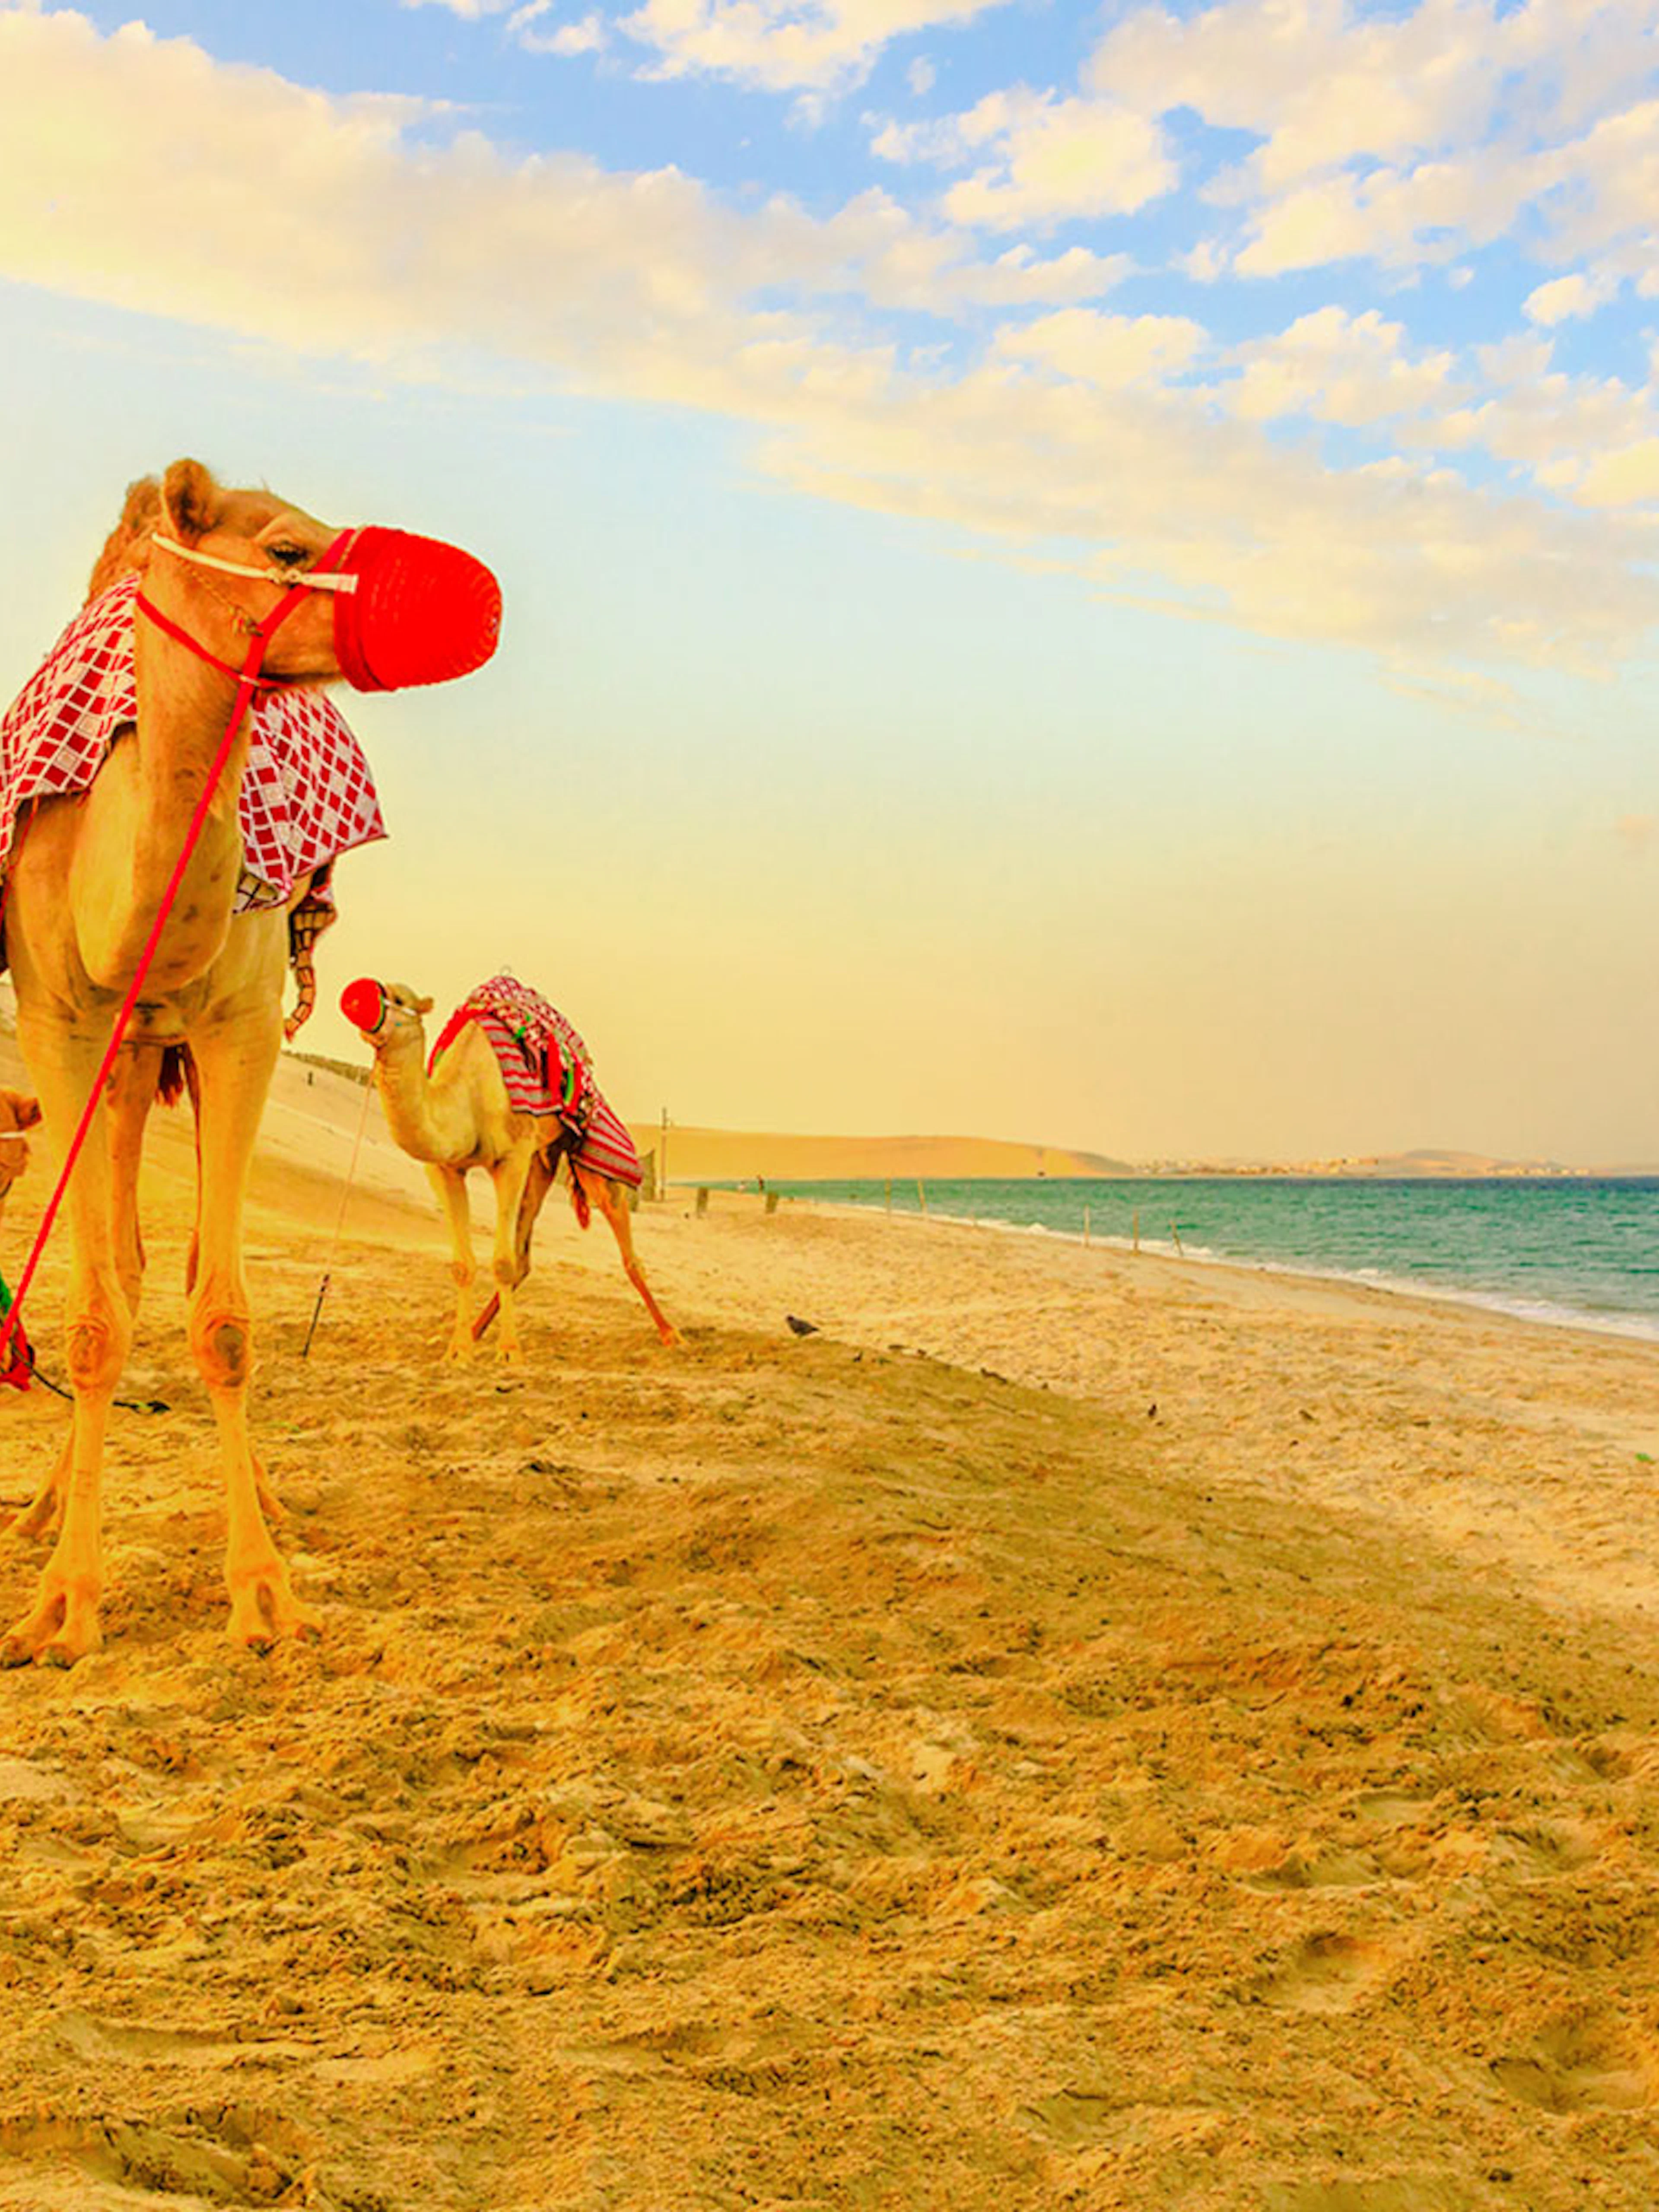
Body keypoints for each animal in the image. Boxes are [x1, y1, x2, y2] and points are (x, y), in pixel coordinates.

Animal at [0, 461, 497, 1665]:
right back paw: (43, 1508)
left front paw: (264, 1590)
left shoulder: (241, 1023)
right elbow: (93, 1314)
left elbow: (222, 1320)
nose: (475, 600)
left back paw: (260, 1499)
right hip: (130, 1059)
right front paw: (62, 1606)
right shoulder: (60, 1020)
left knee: (176, 1272)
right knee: (126, 1270)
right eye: (283, 550)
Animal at [341, 980, 677, 1361]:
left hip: (587, 1150)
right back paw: (475, 1331)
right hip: (544, 1158)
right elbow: (463, 1265)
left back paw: (671, 1334)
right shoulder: (445, 1168)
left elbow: (502, 1262)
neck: (465, 1097)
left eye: (398, 998)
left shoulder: (511, 1158)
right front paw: (458, 1350)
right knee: (525, 1251)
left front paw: (509, 1352)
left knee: (622, 1238)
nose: (357, 995)